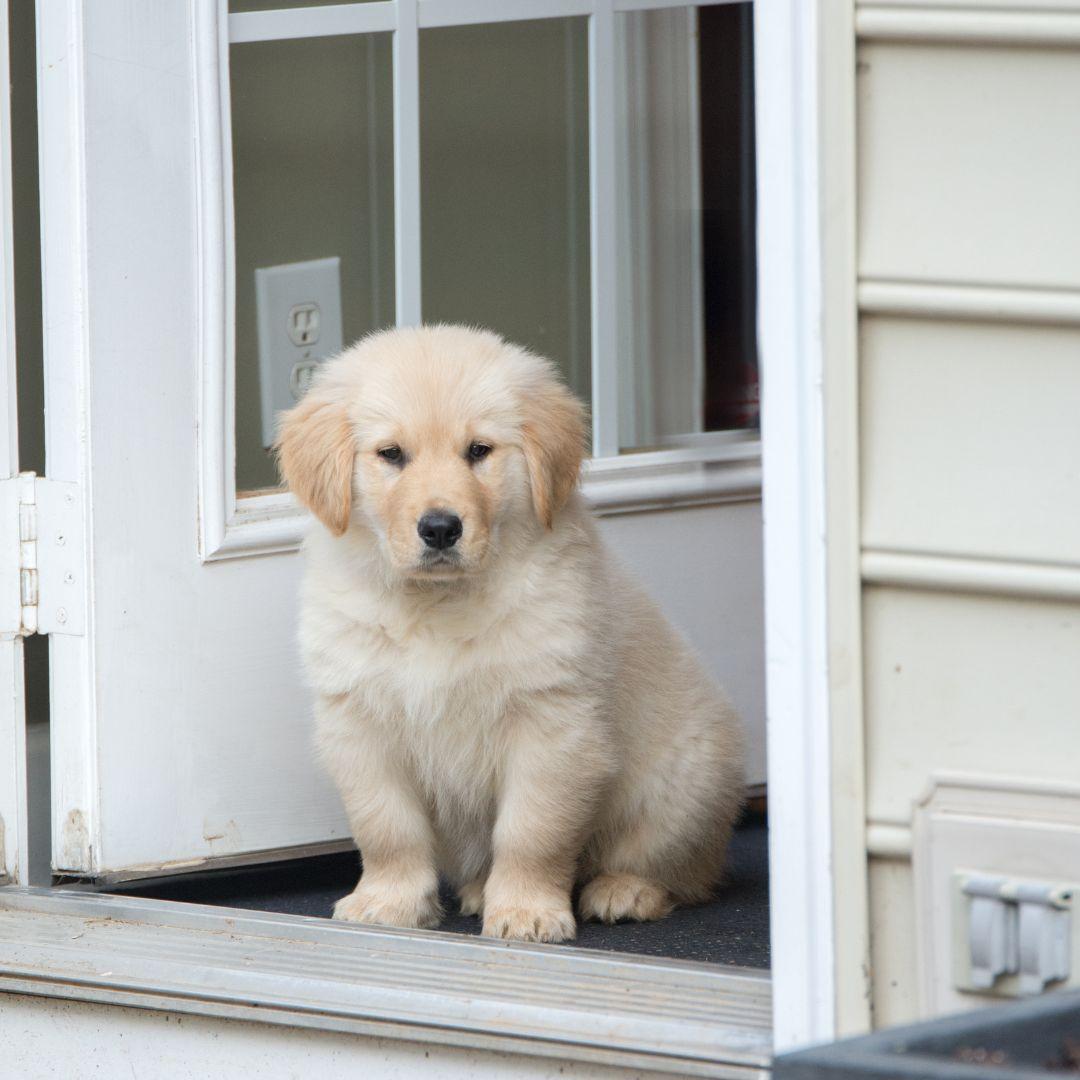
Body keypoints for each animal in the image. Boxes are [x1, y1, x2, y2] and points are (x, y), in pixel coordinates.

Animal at [278, 324, 747, 941]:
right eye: (391, 454)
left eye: (479, 451)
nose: (440, 528)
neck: (439, 601)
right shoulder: (360, 723)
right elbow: (386, 828)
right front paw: (388, 903)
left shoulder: (553, 724)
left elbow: (532, 832)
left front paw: (527, 911)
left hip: (681, 784)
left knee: (676, 866)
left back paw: (626, 890)